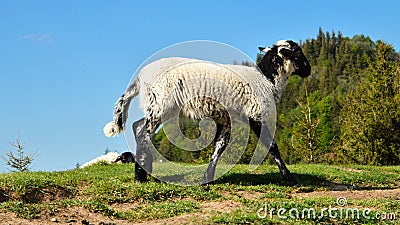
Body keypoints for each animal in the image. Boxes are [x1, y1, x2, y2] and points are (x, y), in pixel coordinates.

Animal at [104, 39, 310, 185]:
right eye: (298, 52)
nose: (308, 70)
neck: (267, 80)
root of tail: (141, 75)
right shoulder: (256, 114)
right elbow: (271, 145)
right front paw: (290, 178)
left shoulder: (227, 119)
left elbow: (220, 146)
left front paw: (207, 177)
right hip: (160, 103)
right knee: (142, 131)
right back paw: (140, 175)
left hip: (158, 105)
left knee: (137, 126)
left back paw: (145, 170)